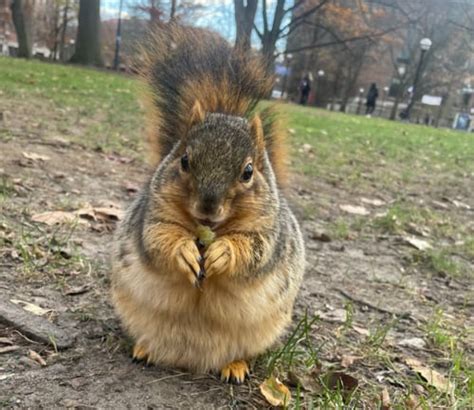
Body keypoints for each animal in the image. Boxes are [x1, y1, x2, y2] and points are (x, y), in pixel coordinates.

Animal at [110, 24, 304, 384]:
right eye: (184, 160)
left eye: (248, 171)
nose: (207, 207)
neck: (210, 228)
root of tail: (193, 359)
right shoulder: (152, 216)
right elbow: (159, 239)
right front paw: (184, 251)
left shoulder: (269, 234)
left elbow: (253, 251)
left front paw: (224, 253)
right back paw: (144, 349)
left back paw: (235, 365)